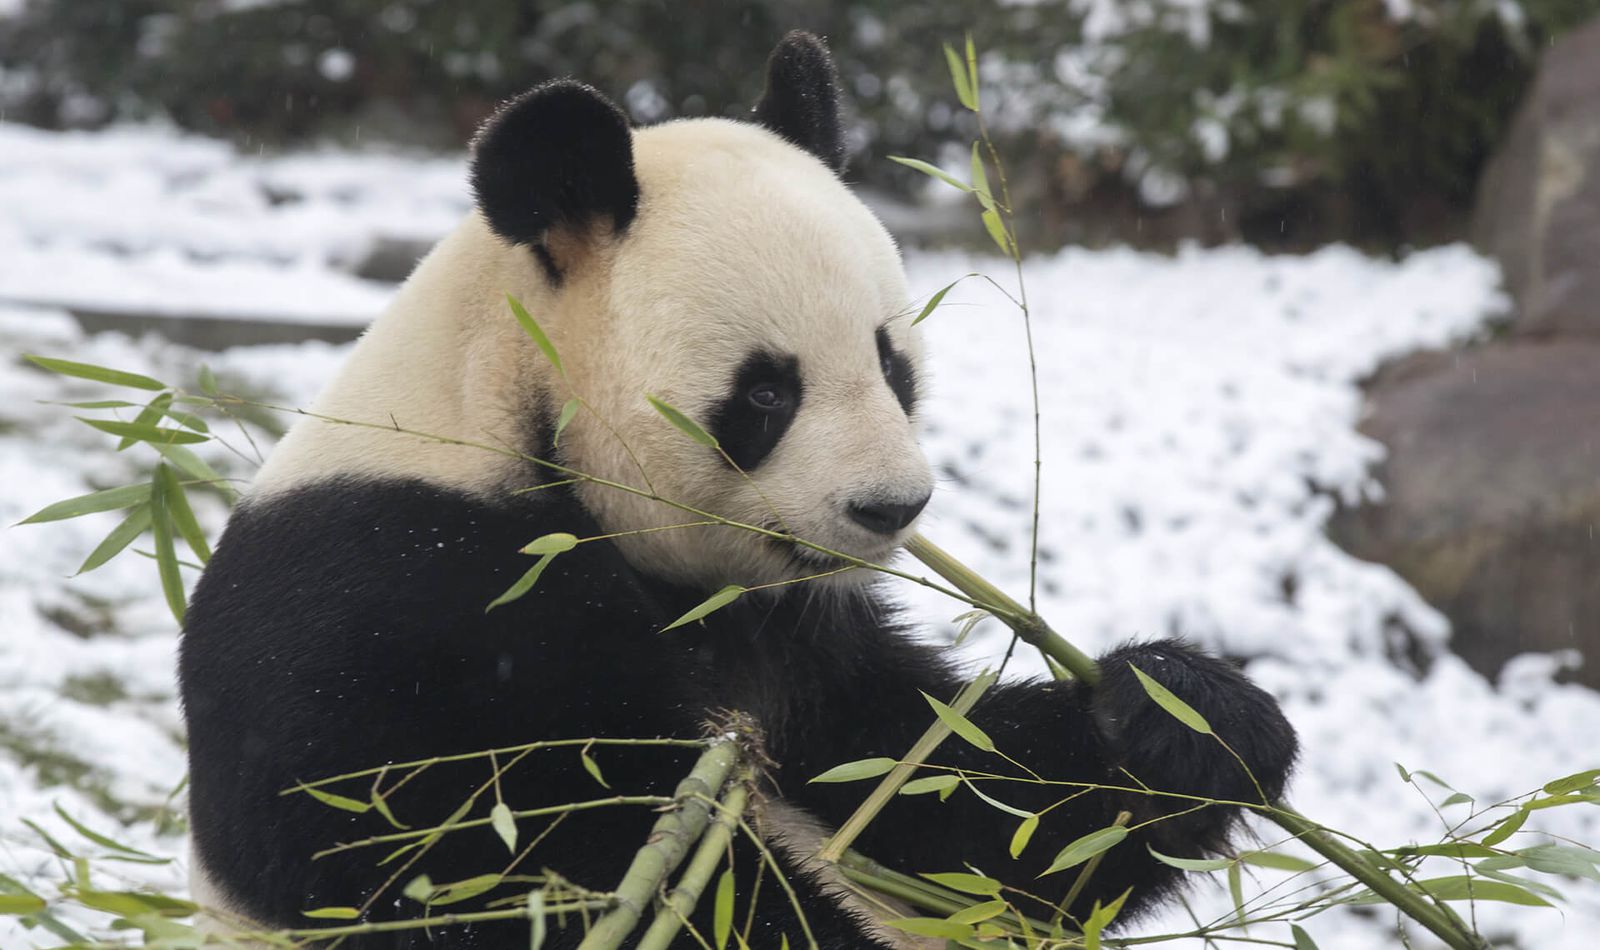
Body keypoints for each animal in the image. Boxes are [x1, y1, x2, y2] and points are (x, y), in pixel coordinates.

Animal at [179, 32, 1297, 950]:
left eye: (892, 363)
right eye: (766, 391)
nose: (890, 509)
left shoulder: (802, 641)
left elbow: (961, 812)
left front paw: (1184, 714)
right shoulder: (395, 594)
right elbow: (499, 862)